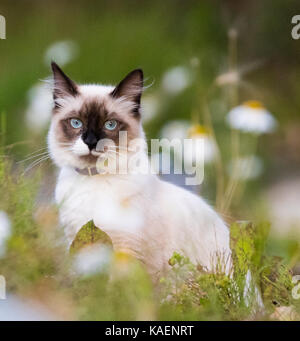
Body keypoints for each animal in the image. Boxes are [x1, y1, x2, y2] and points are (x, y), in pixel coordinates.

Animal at [48, 62, 232, 280]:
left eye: (110, 124)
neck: (95, 180)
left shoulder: (128, 250)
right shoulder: (78, 241)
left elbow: (121, 287)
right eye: (76, 122)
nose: (91, 142)